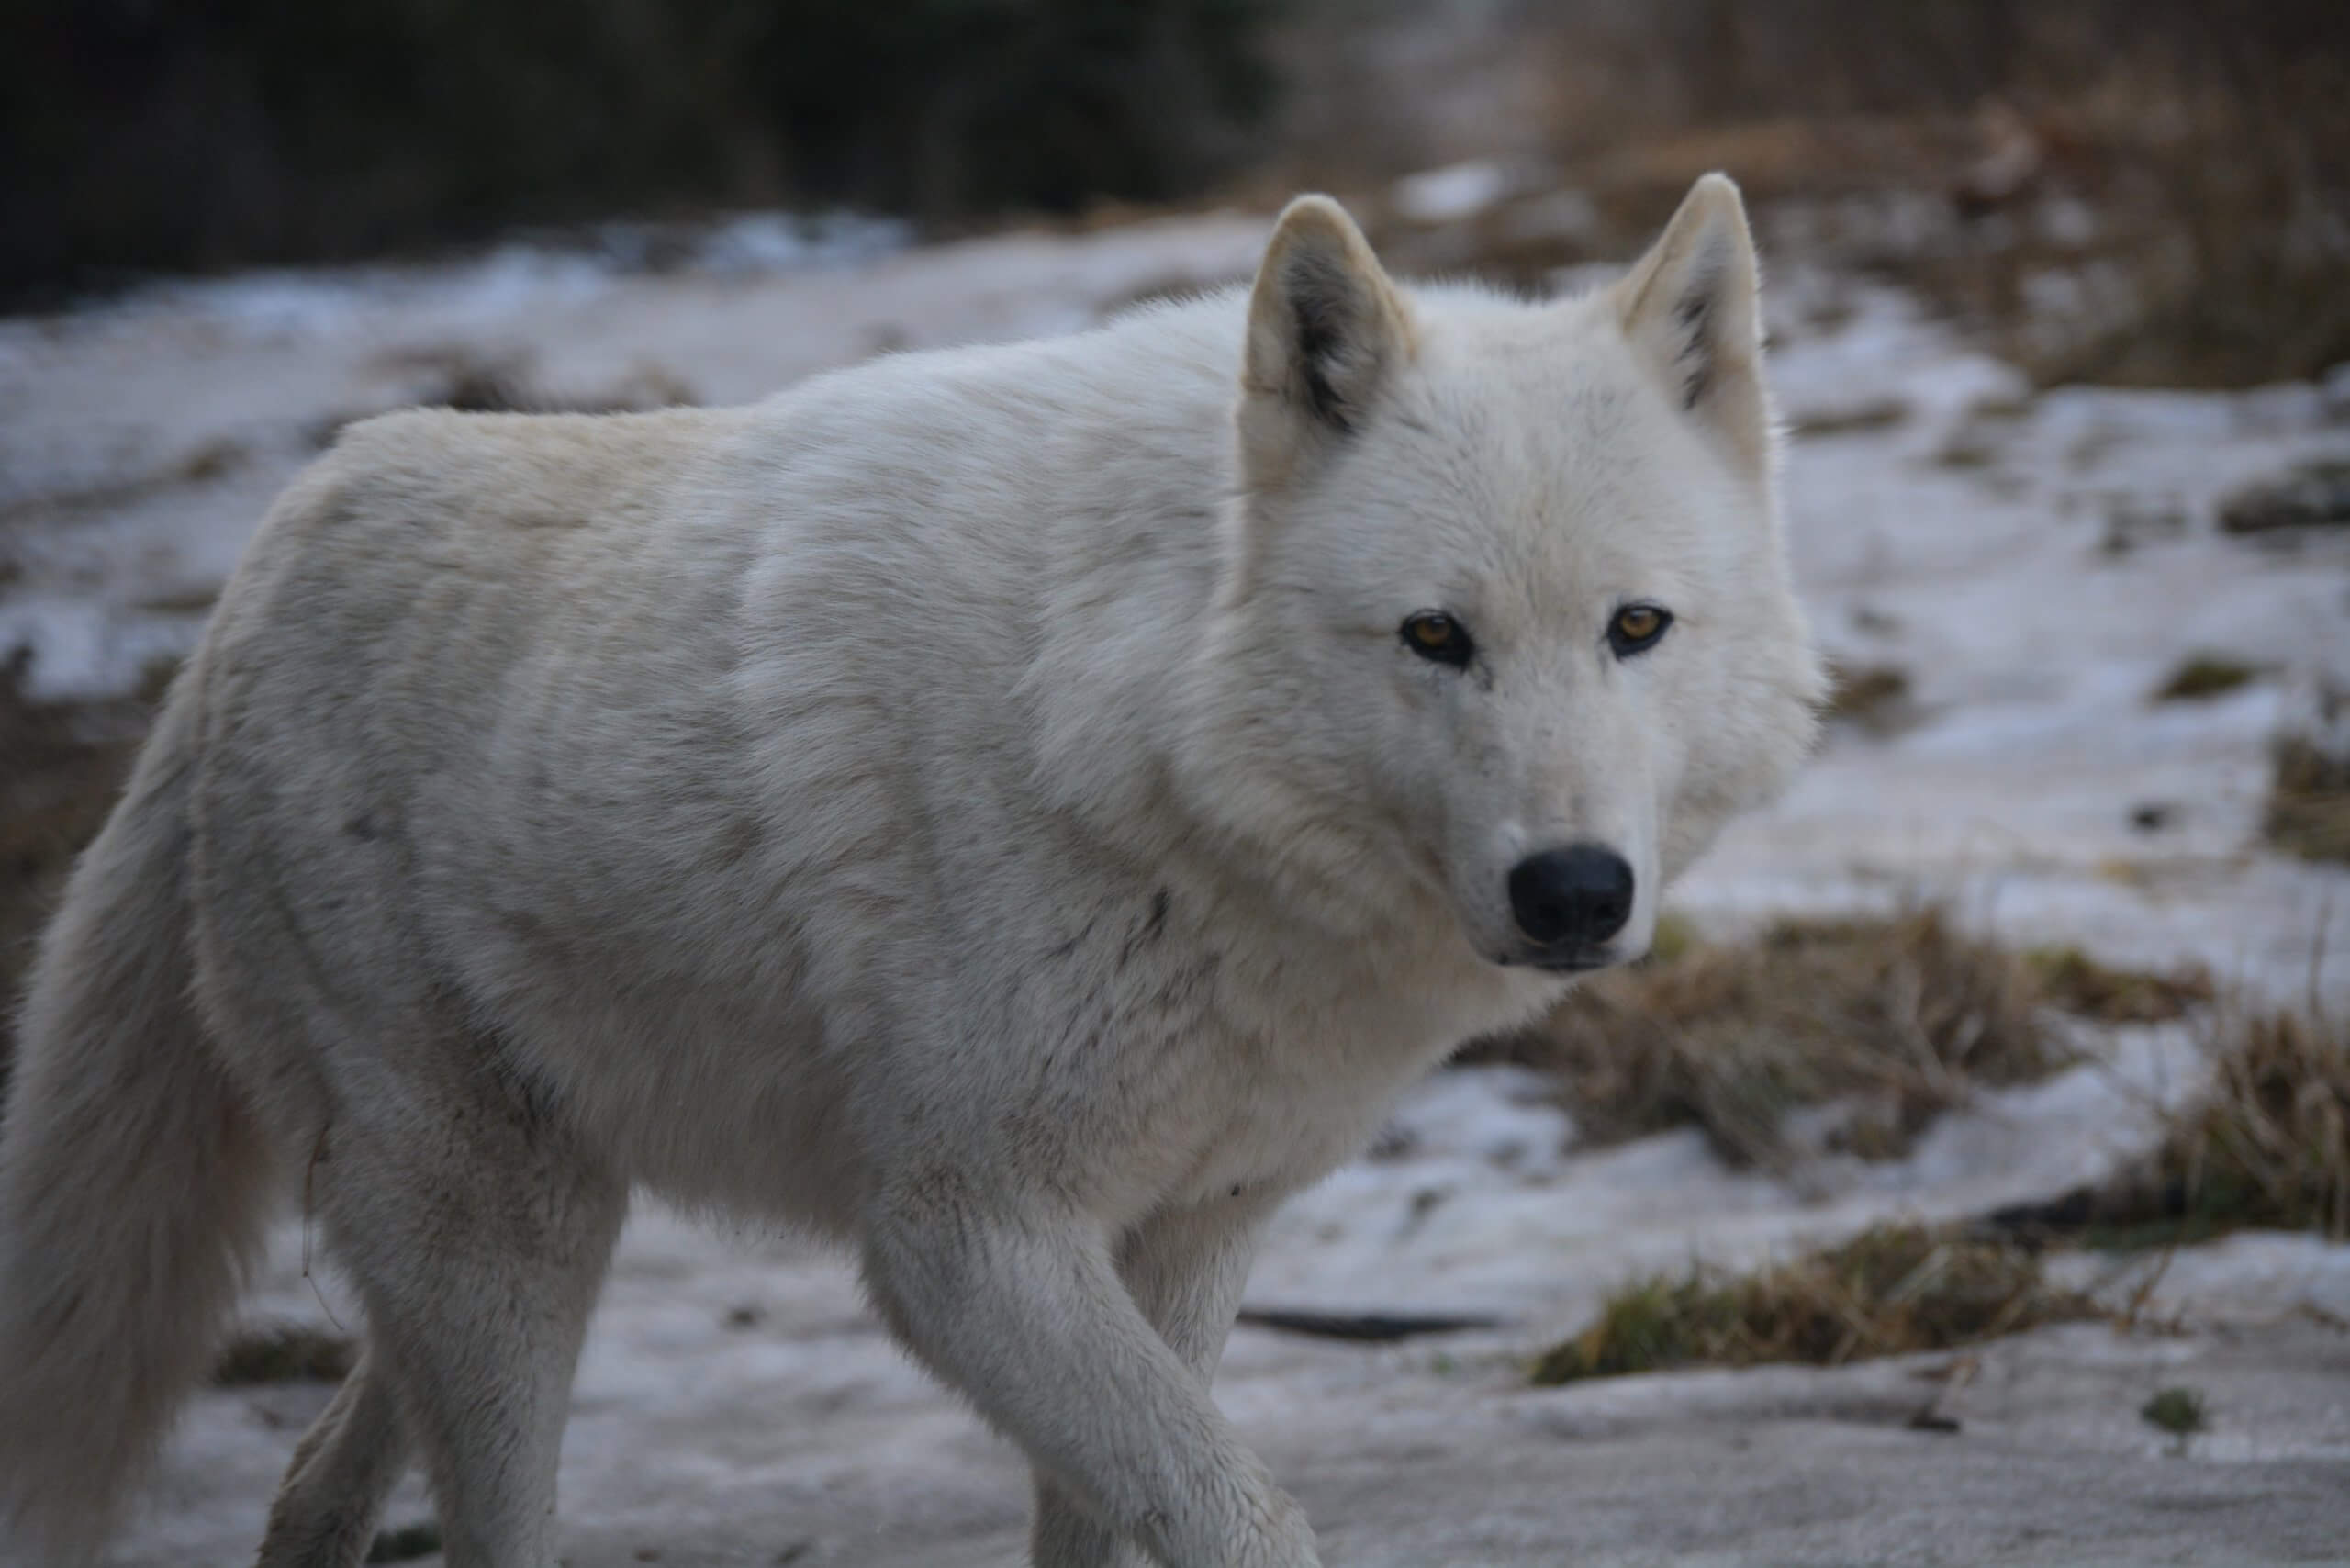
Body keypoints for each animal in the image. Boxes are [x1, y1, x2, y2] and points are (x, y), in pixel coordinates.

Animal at [0, 174, 1820, 1567]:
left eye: (1635, 627)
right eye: (1436, 638)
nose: (1575, 892)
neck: (1141, 744)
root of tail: (244, 589)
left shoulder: (1186, 1235)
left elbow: (1118, 1518)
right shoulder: (963, 1242)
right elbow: (1235, 1516)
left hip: (520, 1224)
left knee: (316, 1479)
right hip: (500, 1240)